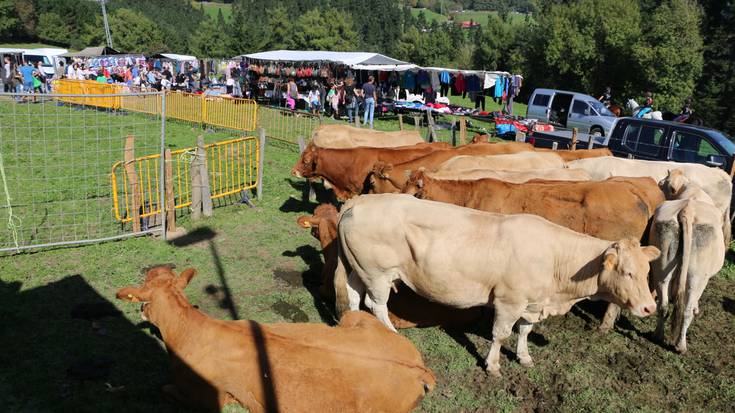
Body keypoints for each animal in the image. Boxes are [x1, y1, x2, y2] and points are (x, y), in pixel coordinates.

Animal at [117, 266, 434, 410]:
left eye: (143, 300)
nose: (143, 312)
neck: (190, 331)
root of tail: (419, 369)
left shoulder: (209, 397)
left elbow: (165, 388)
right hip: (353, 320)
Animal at [336, 193, 660, 376]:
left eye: (647, 271)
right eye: (627, 272)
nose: (649, 307)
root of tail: (360, 200)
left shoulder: (532, 303)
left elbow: (524, 331)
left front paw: (525, 356)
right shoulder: (509, 301)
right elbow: (501, 334)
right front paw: (493, 366)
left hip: (359, 269)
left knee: (353, 295)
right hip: (377, 272)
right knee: (376, 304)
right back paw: (390, 334)